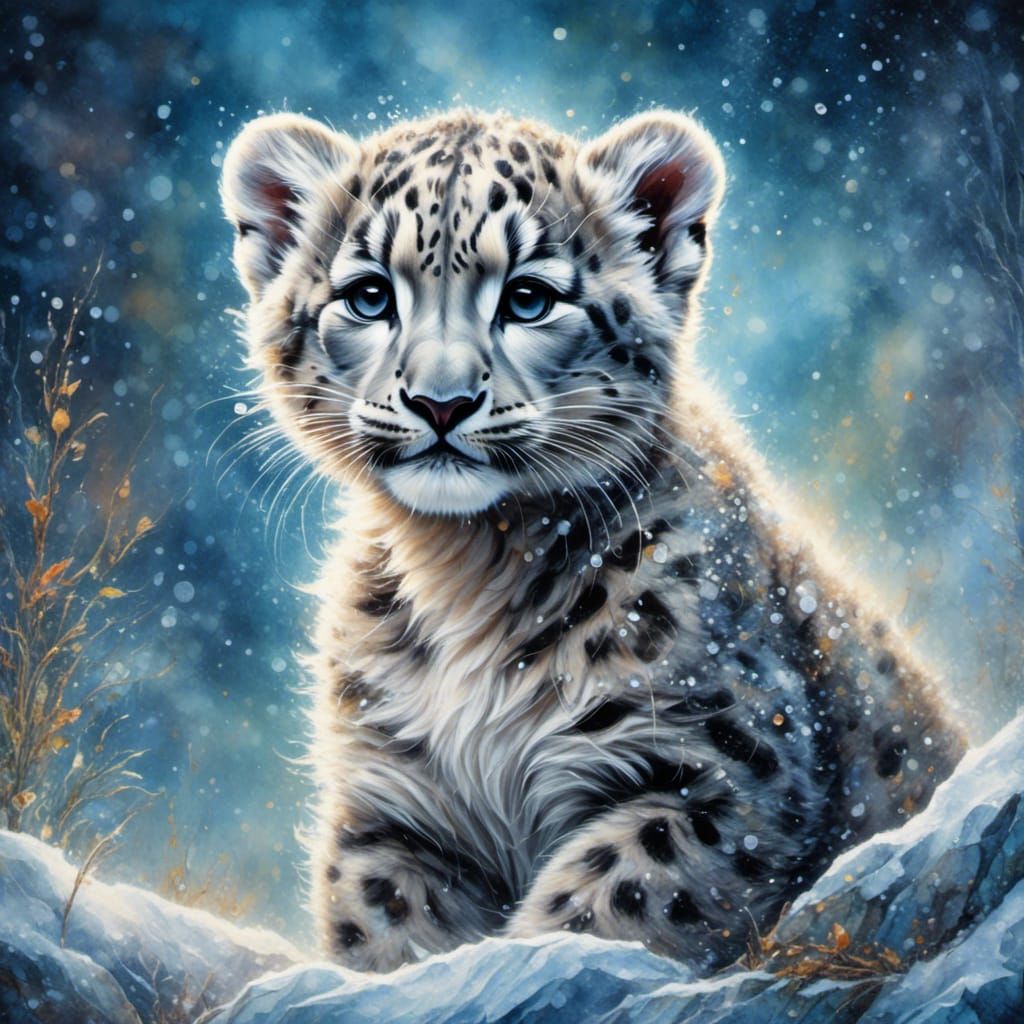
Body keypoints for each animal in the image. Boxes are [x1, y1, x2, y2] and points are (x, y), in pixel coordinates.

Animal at [220, 107, 966, 974]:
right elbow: (389, 933)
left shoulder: (723, 772)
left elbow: (607, 906)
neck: (465, 565)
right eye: (370, 296)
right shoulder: (394, 810)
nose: (441, 402)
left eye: (529, 298)